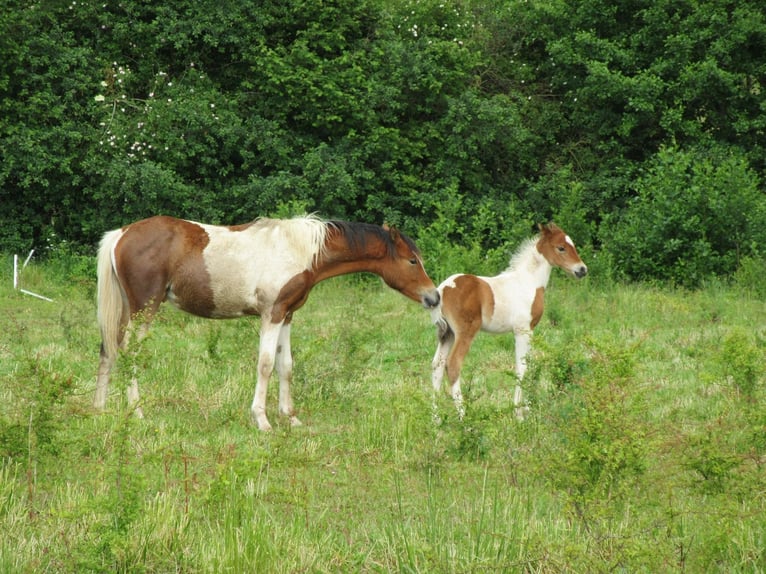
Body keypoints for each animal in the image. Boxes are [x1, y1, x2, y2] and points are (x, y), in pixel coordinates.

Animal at [95, 216, 440, 432]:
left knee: (108, 350)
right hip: (144, 310)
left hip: (126, 311)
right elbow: (265, 364)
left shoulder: (286, 315)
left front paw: (291, 417)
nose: (434, 297)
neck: (300, 251)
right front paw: (262, 420)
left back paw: (99, 409)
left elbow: (285, 365)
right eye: (412, 260)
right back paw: (137, 412)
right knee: (128, 354)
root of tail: (121, 234)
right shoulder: (270, 314)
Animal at [432, 224, 588, 418]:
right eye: (561, 248)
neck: (529, 282)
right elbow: (522, 367)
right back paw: (463, 417)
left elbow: (525, 365)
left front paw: (525, 409)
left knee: (437, 366)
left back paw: (436, 419)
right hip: (465, 332)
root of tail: (443, 289)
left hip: (447, 334)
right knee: (453, 364)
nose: (582, 270)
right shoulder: (523, 330)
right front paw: (519, 414)